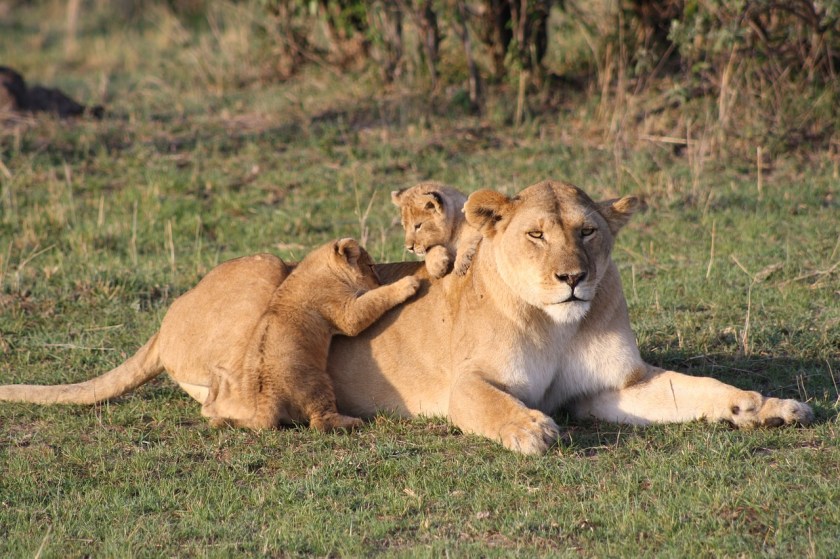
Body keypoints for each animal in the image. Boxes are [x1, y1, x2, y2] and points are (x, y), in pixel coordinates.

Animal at [201, 237, 420, 432]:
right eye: (371, 266)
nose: (380, 281)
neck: (318, 266)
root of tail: (267, 398)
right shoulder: (344, 312)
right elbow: (374, 300)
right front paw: (408, 284)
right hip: (318, 383)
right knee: (319, 423)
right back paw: (354, 421)